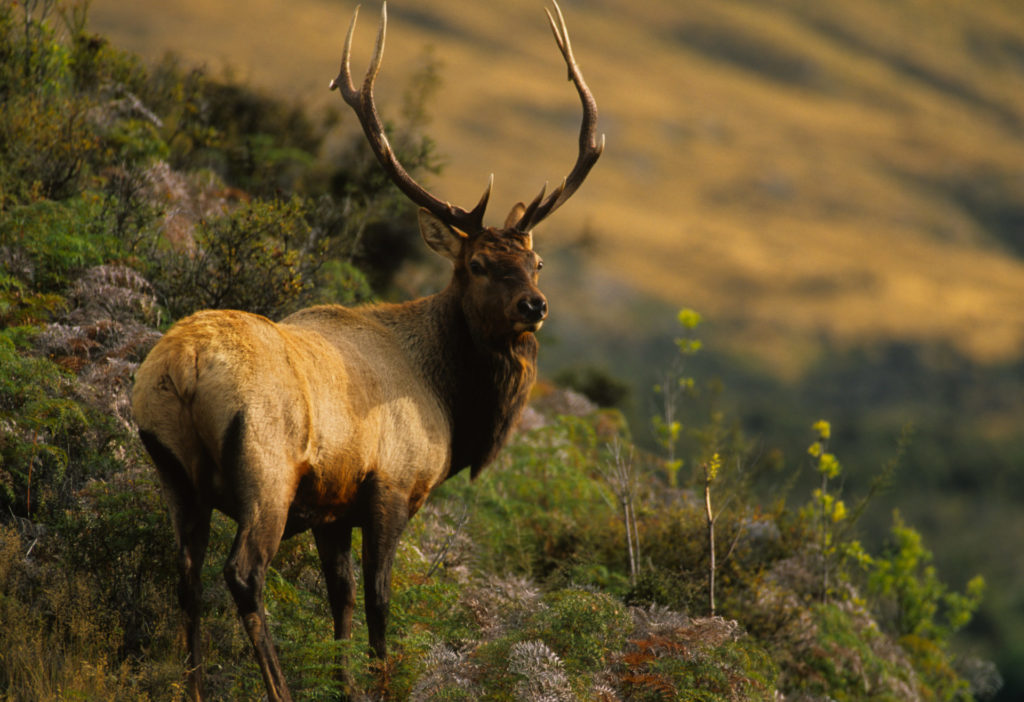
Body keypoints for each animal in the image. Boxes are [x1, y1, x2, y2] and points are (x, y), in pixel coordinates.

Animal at [132, 2, 602, 699]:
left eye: (536, 261)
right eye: (479, 264)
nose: (534, 307)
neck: (453, 404)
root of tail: (182, 369)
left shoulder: (332, 509)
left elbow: (342, 605)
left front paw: (345, 684)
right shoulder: (391, 487)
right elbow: (380, 606)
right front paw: (377, 684)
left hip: (172, 469)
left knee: (184, 574)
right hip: (265, 469)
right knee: (242, 573)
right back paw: (278, 687)